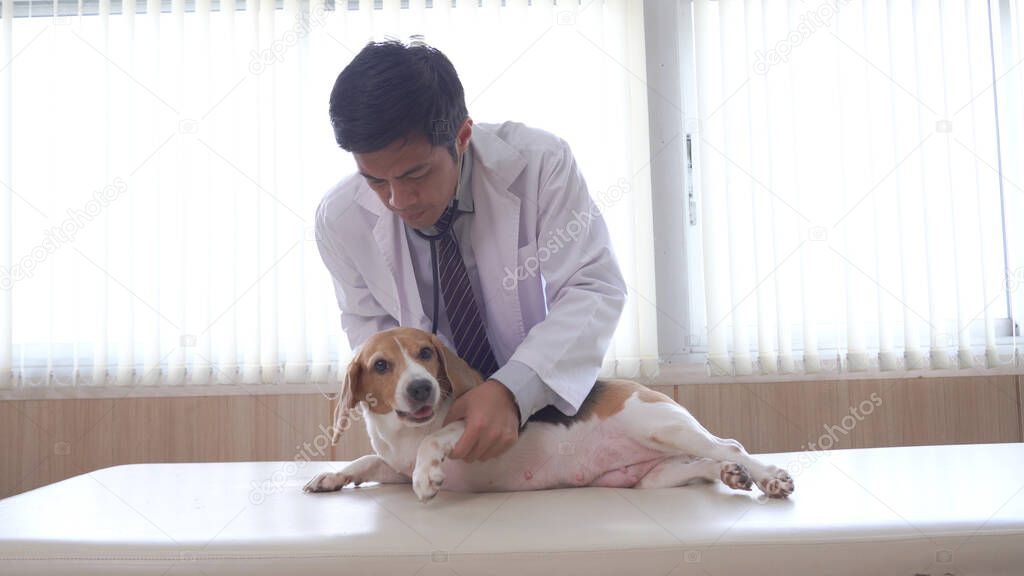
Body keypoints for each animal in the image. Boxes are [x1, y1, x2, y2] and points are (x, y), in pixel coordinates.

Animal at [299, 325, 794, 500]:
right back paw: (731, 475)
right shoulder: (392, 465)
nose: (421, 387)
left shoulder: (471, 427)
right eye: (381, 365)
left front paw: (427, 476)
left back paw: (767, 477)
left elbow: (433, 442)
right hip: (653, 476)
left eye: (426, 352)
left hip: (663, 428)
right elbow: (368, 460)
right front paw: (331, 477)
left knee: (729, 444)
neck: (402, 431)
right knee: (705, 464)